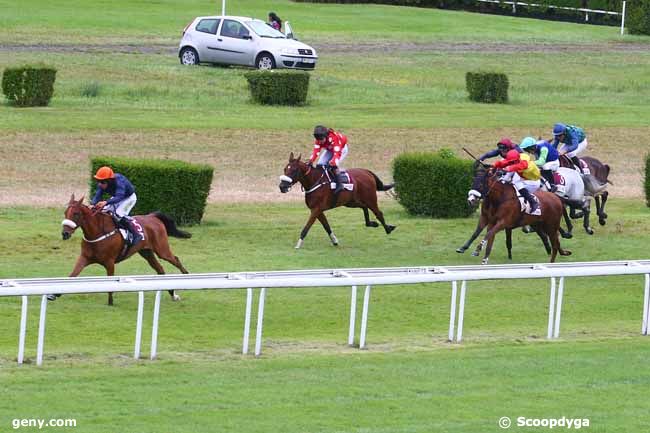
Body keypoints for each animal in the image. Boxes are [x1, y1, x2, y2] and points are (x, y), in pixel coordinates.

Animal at [59, 194, 191, 306]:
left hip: (162, 250)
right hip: (147, 252)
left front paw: (110, 302)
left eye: (76, 213)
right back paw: (173, 294)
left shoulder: (109, 262)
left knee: (175, 259)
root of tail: (152, 216)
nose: (65, 234)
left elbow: (110, 282)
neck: (97, 233)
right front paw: (56, 294)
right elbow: (72, 276)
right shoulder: (84, 258)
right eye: (65, 213)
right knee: (160, 269)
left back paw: (186, 276)